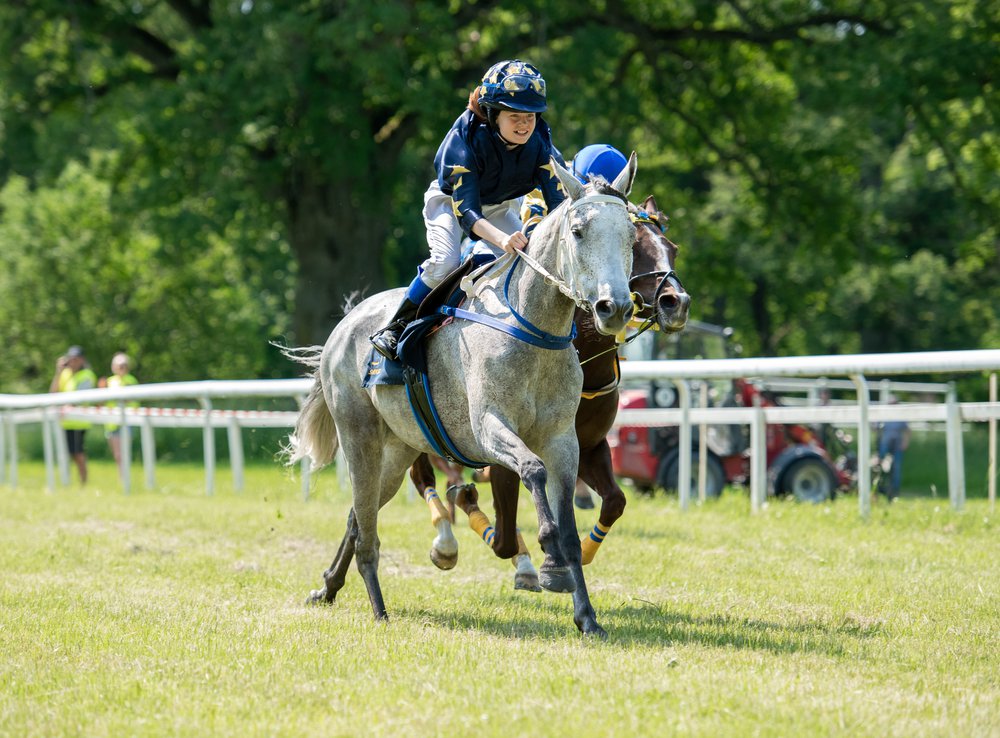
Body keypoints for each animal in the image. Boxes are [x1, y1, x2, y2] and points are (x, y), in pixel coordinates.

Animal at [286, 154, 636, 632]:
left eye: (632, 233)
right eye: (579, 231)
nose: (614, 307)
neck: (532, 328)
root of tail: (346, 322)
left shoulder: (564, 440)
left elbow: (567, 525)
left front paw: (586, 615)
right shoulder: (488, 428)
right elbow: (532, 471)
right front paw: (550, 562)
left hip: (399, 449)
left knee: (360, 515)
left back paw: (327, 587)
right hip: (358, 435)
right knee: (366, 526)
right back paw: (378, 607)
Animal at [412, 196, 688, 588]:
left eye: (672, 248)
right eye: (637, 248)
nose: (676, 302)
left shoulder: (589, 445)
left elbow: (615, 500)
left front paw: (579, 555)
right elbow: (504, 534)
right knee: (422, 476)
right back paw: (446, 541)